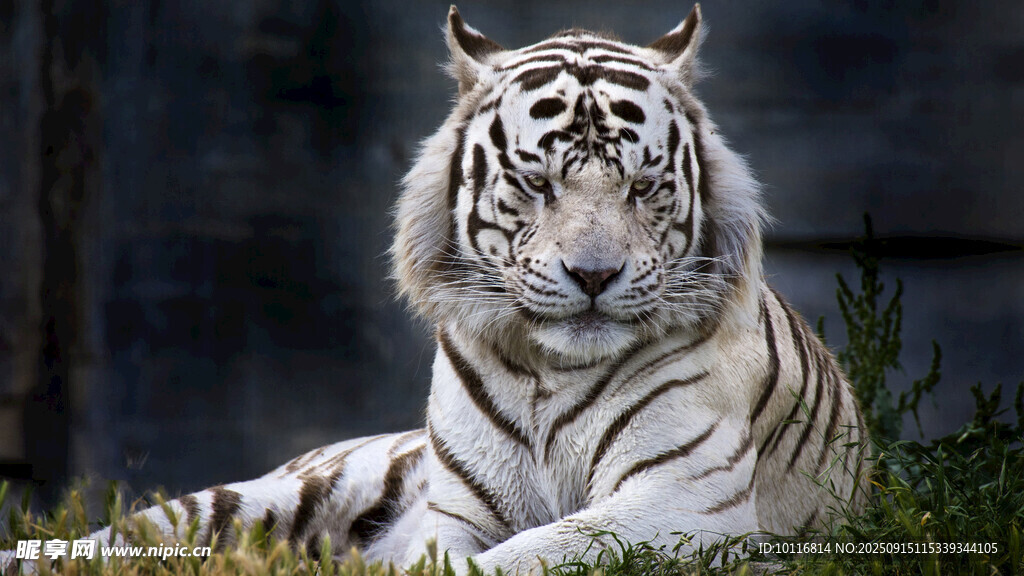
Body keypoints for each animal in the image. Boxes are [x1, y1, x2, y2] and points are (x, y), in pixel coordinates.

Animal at [3, 5, 868, 575]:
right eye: (537, 183)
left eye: (643, 187)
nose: (594, 276)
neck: (550, 373)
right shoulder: (455, 514)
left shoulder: (679, 502)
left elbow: (534, 552)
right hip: (252, 499)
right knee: (117, 538)